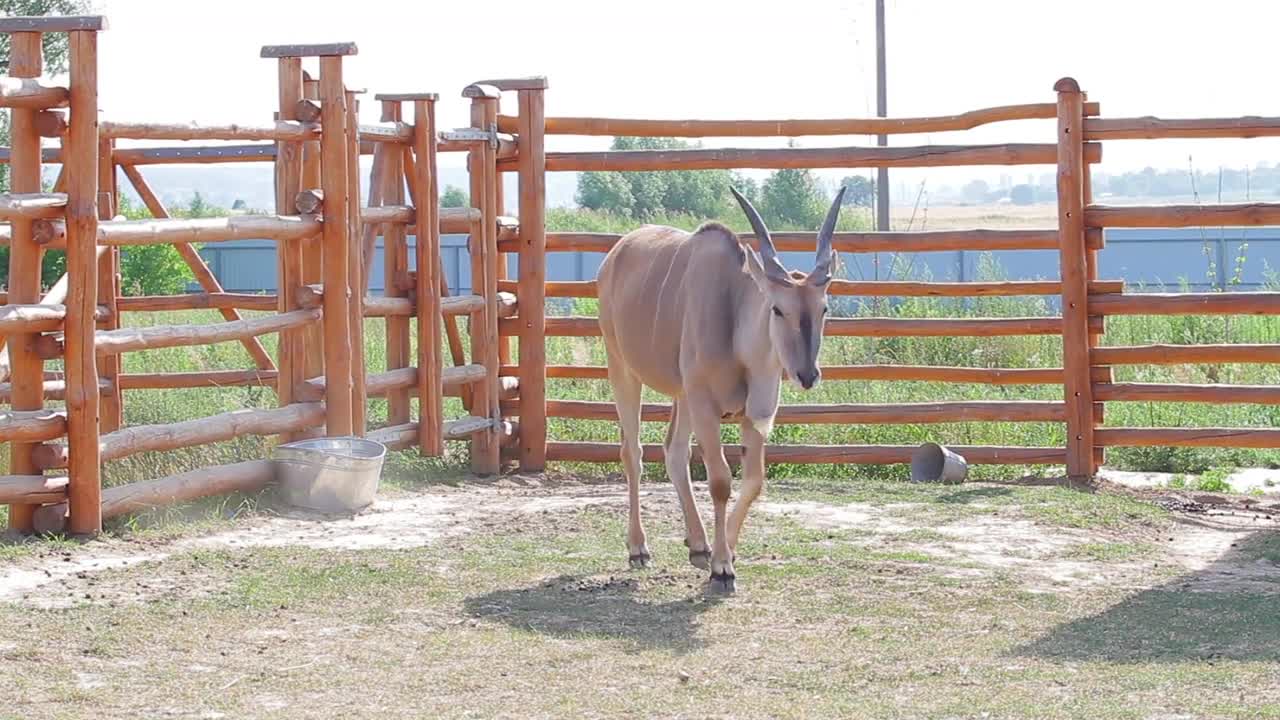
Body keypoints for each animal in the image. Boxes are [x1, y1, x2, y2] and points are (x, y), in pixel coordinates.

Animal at [601, 184, 849, 589]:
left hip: (682, 396)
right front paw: (722, 567)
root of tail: (616, 253)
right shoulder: (706, 407)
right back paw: (639, 548)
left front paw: (724, 551)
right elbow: (719, 480)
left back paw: (698, 545)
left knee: (673, 452)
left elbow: (753, 481)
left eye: (824, 308)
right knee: (633, 453)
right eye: (777, 308)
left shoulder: (755, 414)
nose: (808, 375)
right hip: (623, 370)